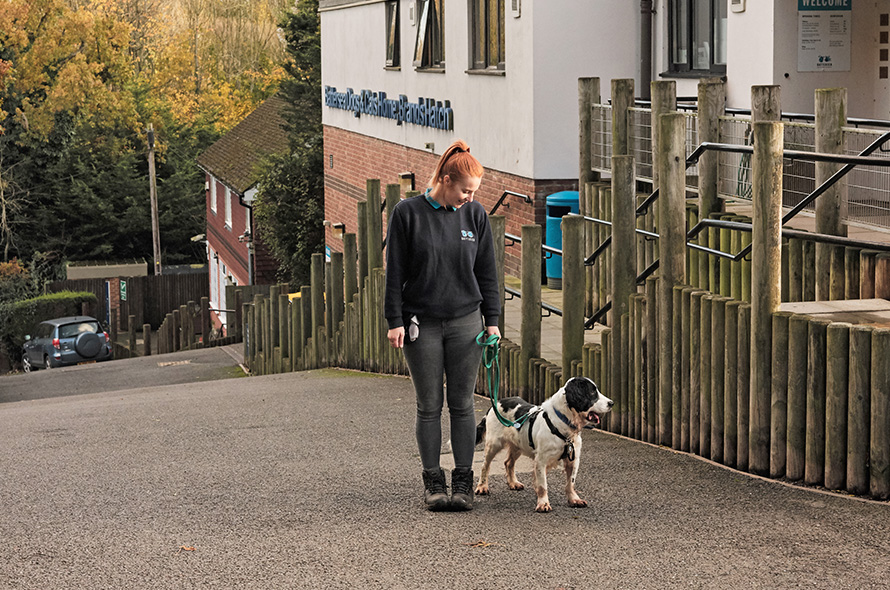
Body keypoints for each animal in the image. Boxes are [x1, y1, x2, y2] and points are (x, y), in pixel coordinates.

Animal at [472, 380, 612, 512]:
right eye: (592, 392)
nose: (611, 403)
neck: (561, 424)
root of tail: (495, 405)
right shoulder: (541, 460)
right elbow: (543, 485)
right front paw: (543, 504)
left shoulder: (573, 460)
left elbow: (570, 483)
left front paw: (574, 499)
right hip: (494, 444)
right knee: (485, 465)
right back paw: (482, 487)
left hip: (518, 446)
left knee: (508, 463)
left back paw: (513, 483)